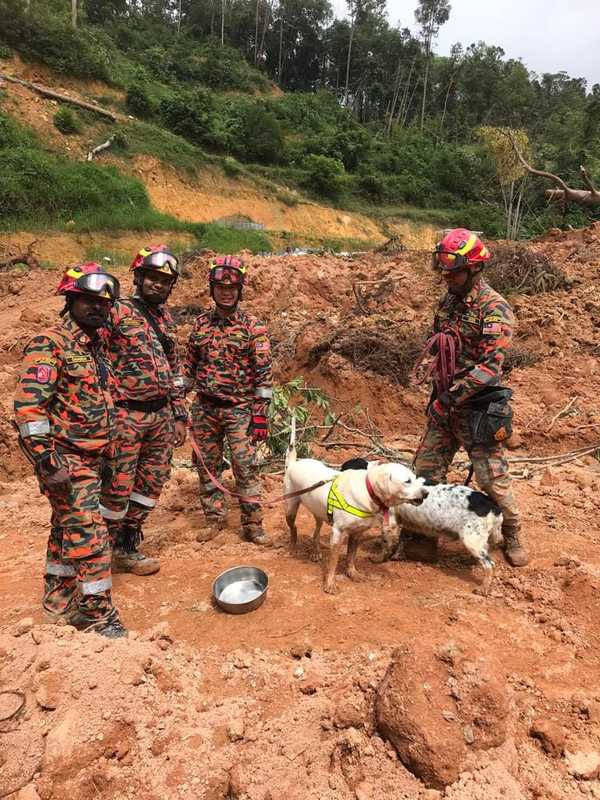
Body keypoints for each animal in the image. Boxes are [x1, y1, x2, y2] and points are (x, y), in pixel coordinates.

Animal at [284, 418, 428, 592]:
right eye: (407, 481)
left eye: (416, 478)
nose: (426, 493)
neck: (367, 492)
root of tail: (294, 463)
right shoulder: (338, 533)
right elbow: (333, 562)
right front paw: (329, 583)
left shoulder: (357, 533)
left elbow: (351, 556)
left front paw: (352, 573)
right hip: (290, 508)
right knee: (294, 528)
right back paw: (292, 547)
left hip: (318, 511)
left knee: (316, 532)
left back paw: (315, 552)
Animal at [340, 456, 504, 592]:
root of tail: (493, 506)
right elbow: (399, 542)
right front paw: (396, 555)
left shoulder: (390, 523)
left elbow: (387, 544)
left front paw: (379, 559)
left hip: (471, 540)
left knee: (490, 565)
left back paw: (483, 588)